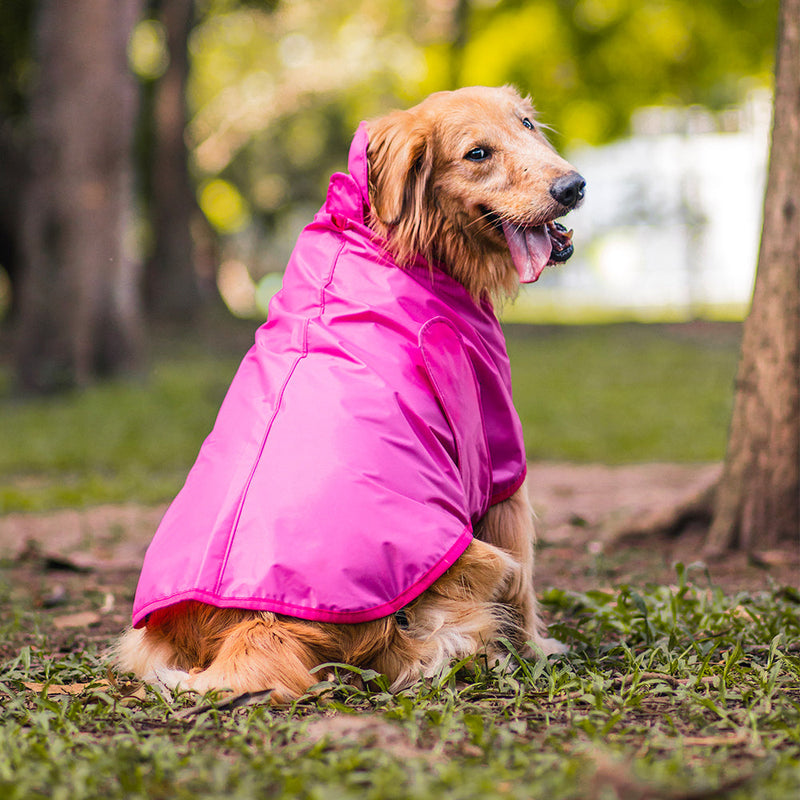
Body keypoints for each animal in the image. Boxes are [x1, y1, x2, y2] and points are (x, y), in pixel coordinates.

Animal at [115, 84, 584, 704]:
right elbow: (526, 582)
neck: (392, 238)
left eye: (527, 124)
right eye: (477, 154)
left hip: (145, 642)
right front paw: (540, 648)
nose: (573, 186)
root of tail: (256, 626)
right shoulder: (498, 457)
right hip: (473, 563)